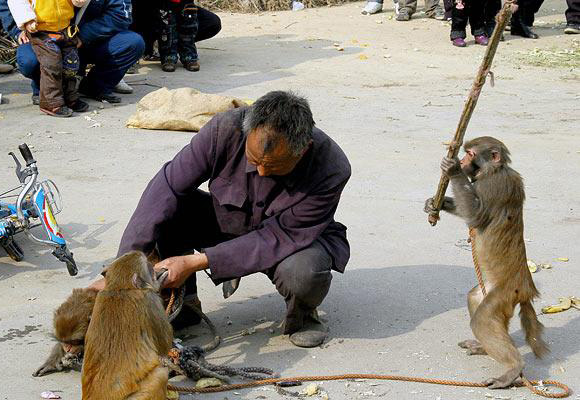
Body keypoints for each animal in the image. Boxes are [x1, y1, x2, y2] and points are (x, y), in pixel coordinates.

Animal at [81, 252, 172, 398]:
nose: (159, 269)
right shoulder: (150, 299)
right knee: (161, 374)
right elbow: (164, 344)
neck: (121, 288)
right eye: (150, 268)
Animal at [424, 136, 548, 390]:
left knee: (482, 320)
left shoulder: (494, 185)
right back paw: (484, 347)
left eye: (470, 154)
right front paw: (434, 204)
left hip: (505, 292)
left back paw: (513, 369)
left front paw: (452, 169)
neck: (493, 171)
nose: (462, 161)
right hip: (495, 292)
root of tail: (526, 289)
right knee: (475, 299)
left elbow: (476, 215)